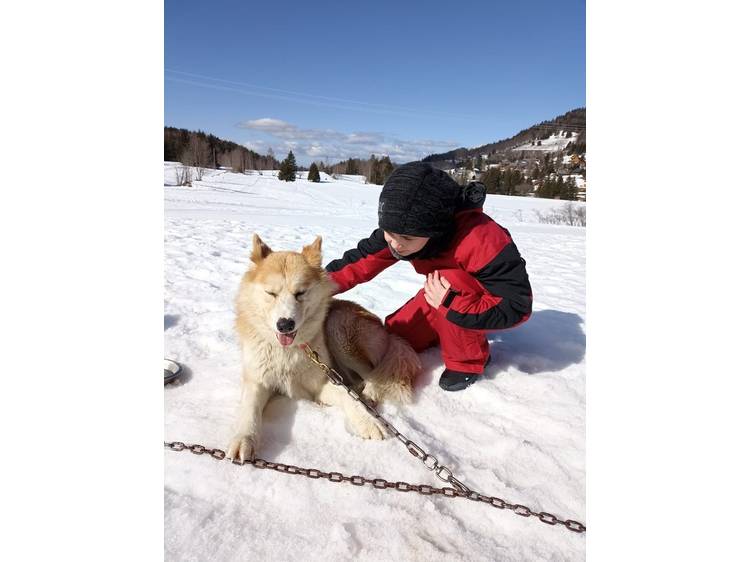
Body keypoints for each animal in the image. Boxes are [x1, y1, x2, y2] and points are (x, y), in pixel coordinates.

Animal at [226, 232, 420, 460]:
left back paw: (368, 393)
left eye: (300, 293)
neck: (287, 352)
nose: (285, 324)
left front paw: (368, 421)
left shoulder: (321, 382)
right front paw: (244, 438)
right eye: (271, 293)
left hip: (337, 328)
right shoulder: (257, 380)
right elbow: (249, 409)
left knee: (374, 374)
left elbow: (348, 397)